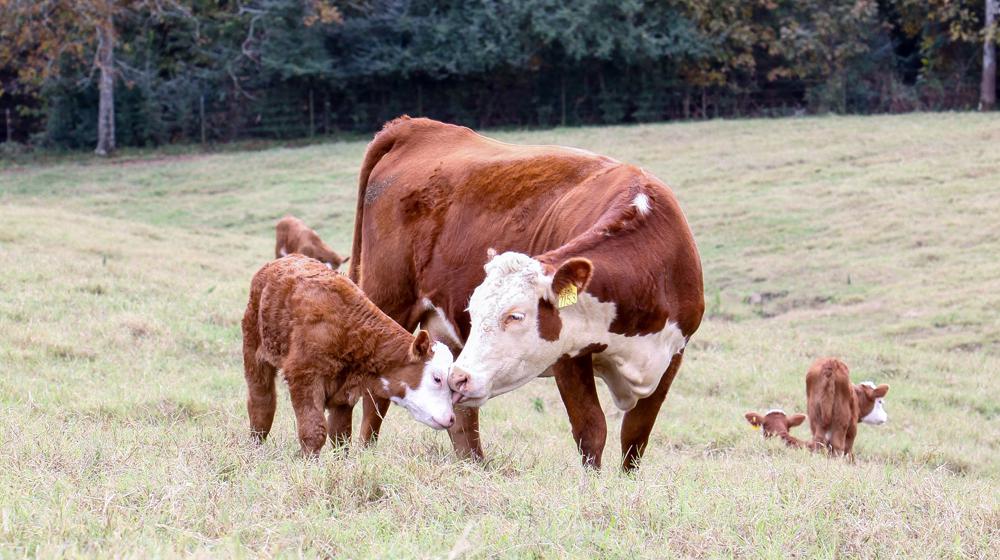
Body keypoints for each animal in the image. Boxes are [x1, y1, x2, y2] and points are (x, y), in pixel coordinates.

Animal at [244, 256, 456, 458]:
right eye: (437, 379)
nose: (451, 418)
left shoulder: (344, 396)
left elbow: (341, 435)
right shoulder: (303, 376)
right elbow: (314, 430)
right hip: (254, 351)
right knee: (262, 402)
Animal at [344, 116, 704, 470]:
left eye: (515, 316)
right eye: (474, 312)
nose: (459, 378)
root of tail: (413, 126)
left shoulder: (672, 355)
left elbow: (635, 437)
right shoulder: (568, 357)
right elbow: (592, 429)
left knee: (462, 419)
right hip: (390, 306)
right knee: (374, 399)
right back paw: (359, 455)